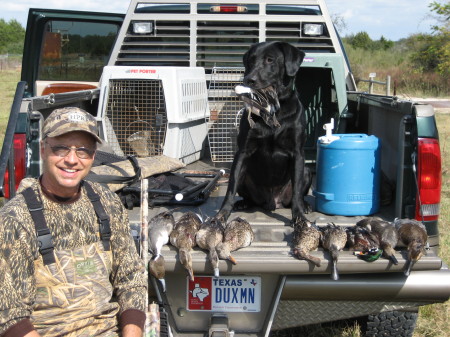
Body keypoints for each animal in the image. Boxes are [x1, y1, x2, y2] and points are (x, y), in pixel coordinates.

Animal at [216, 42, 312, 224]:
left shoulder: (298, 153)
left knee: (298, 195)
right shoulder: (242, 152)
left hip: (306, 171)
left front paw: (299, 217)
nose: (249, 79)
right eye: (250, 61)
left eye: (270, 60)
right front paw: (222, 214)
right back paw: (242, 203)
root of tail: (272, 202)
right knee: (248, 196)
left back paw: (306, 206)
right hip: (245, 175)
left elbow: (296, 192)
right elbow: (230, 188)